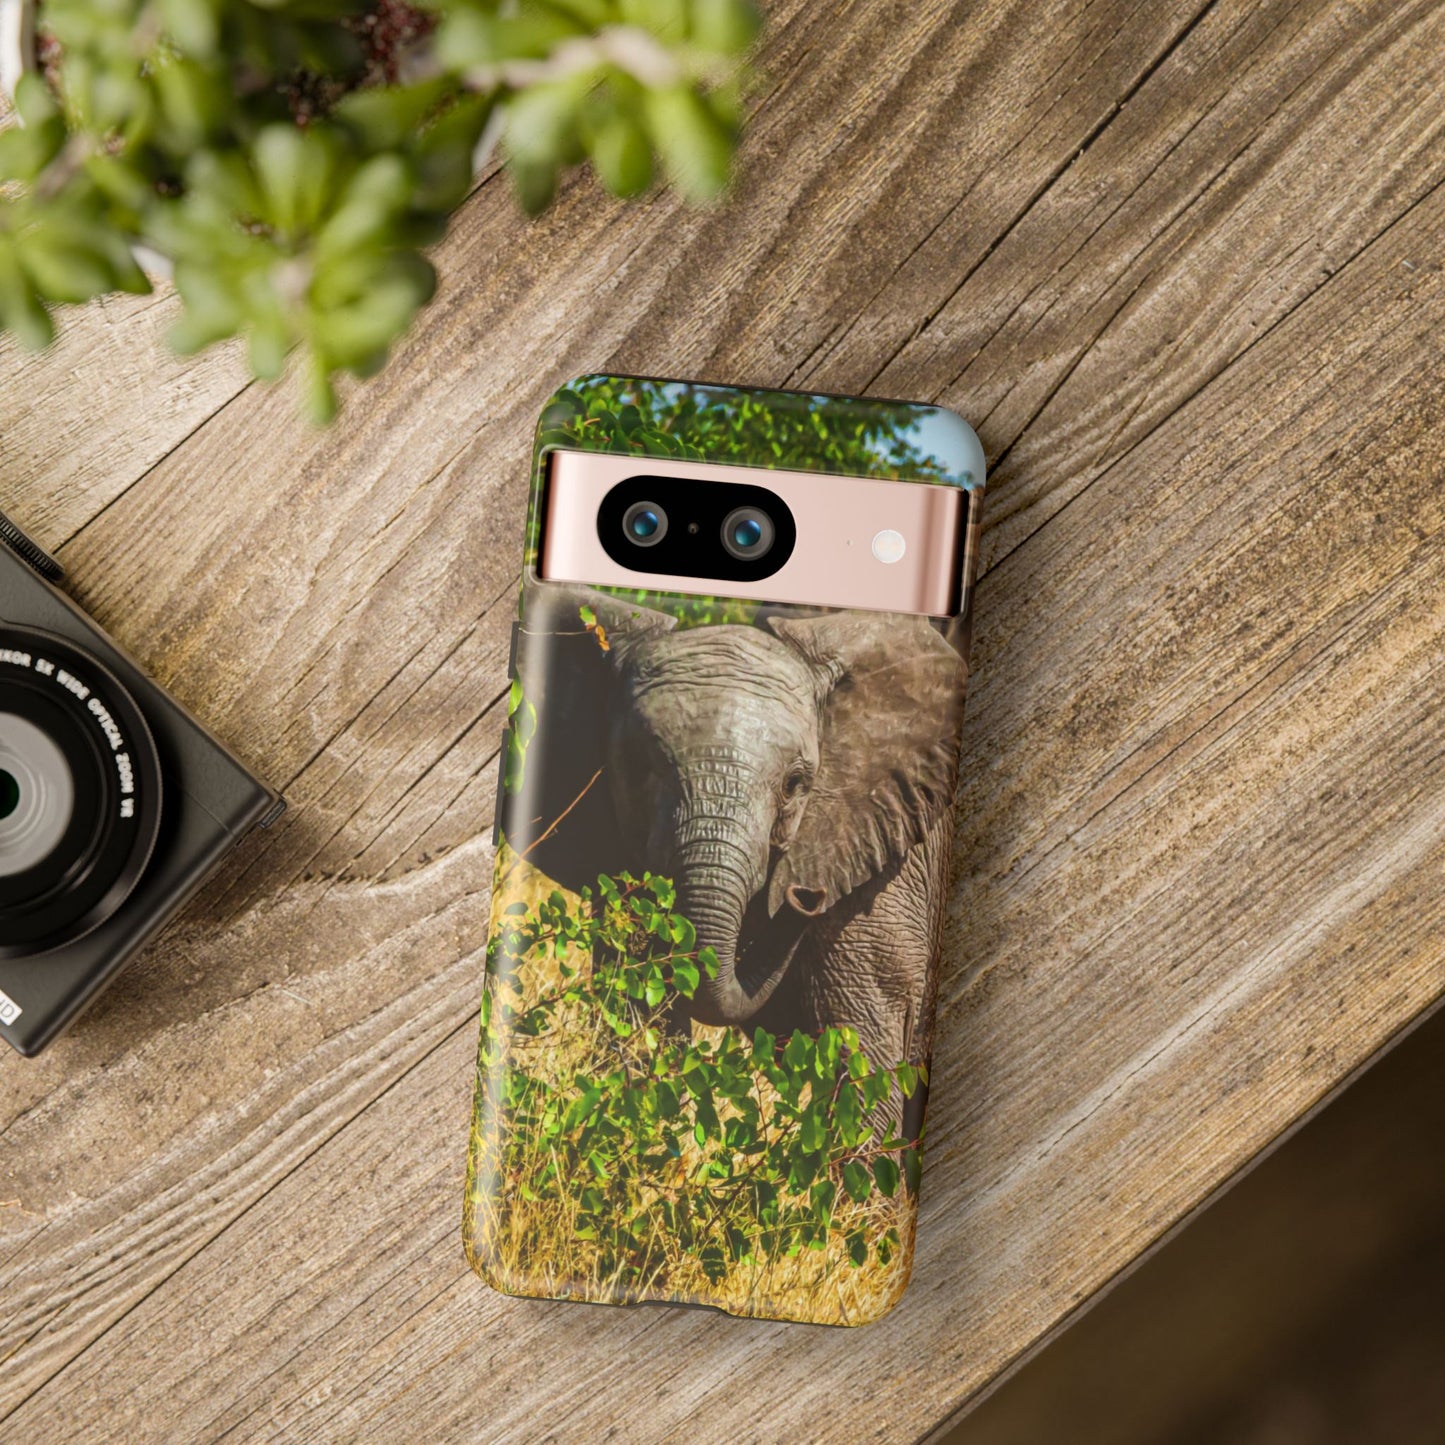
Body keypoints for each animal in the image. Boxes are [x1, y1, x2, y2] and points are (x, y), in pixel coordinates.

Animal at [504, 583, 967, 1127]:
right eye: (636, 766)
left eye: (794, 785)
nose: (804, 897)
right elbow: (638, 1015)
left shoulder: (880, 874)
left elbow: (860, 1057)